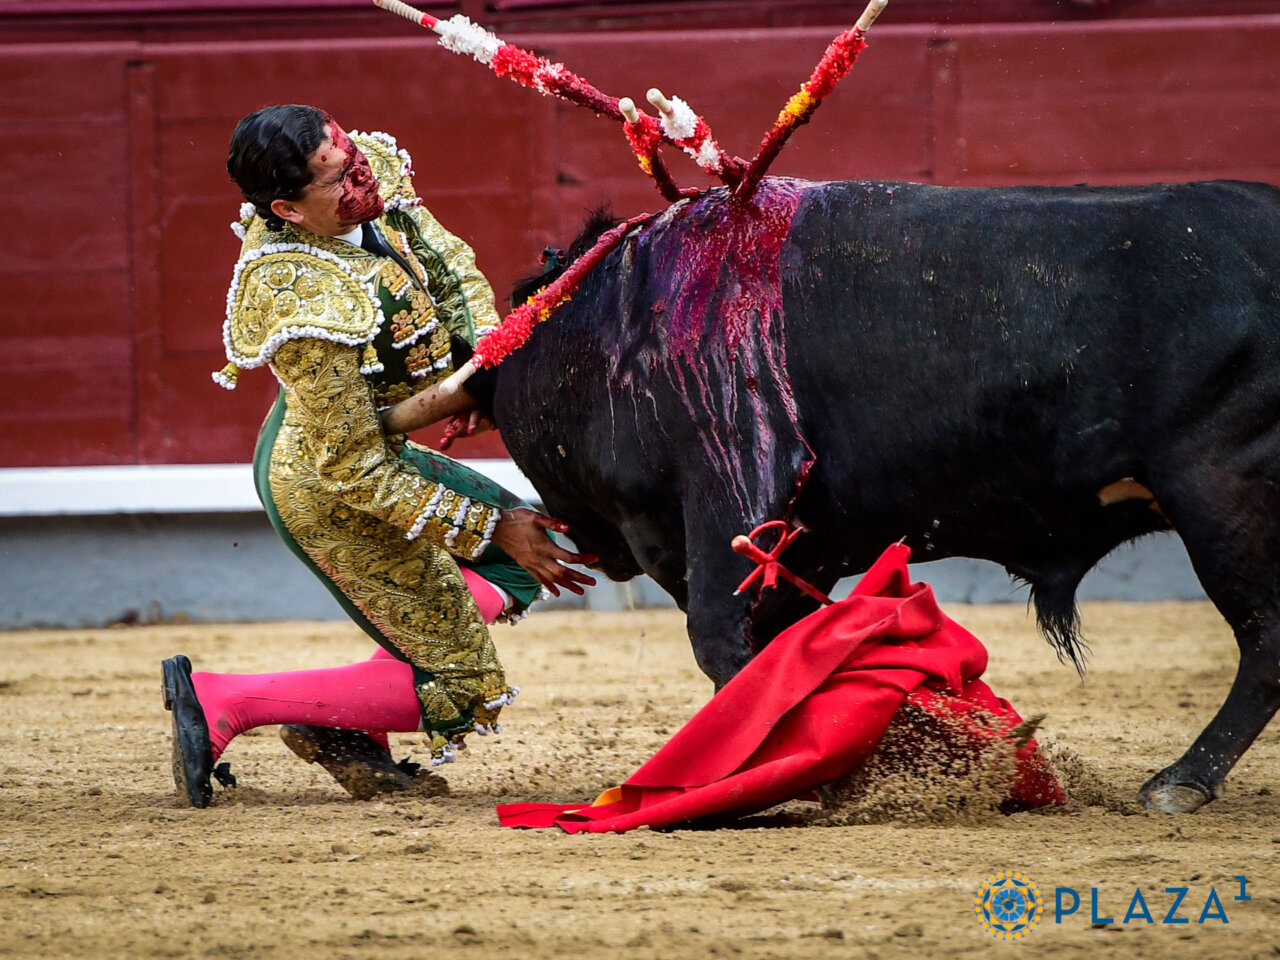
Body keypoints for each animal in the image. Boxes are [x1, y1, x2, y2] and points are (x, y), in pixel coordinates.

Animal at [470, 175, 1280, 813]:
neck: (612, 320)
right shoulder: (793, 550)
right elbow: (791, 653)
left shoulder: (728, 497)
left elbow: (726, 646)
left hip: (1220, 493)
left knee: (1265, 638)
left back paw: (1180, 781)